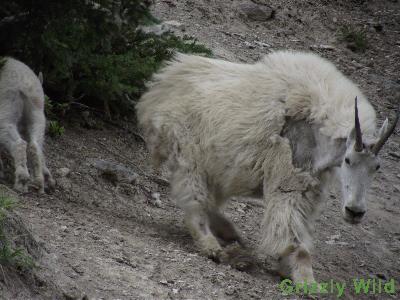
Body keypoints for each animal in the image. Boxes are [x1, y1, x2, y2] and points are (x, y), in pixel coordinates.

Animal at [0, 57, 54, 193]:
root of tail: (24, 84)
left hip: (6, 112)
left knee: (19, 144)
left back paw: (21, 181)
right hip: (37, 115)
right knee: (35, 145)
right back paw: (39, 183)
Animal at [136, 51, 398, 284]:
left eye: (377, 167)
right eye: (348, 160)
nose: (355, 212)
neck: (318, 134)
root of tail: (161, 85)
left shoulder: (310, 188)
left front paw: (287, 269)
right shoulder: (289, 182)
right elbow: (294, 237)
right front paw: (307, 281)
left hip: (216, 168)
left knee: (210, 202)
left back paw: (230, 234)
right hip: (190, 157)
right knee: (195, 204)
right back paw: (215, 247)